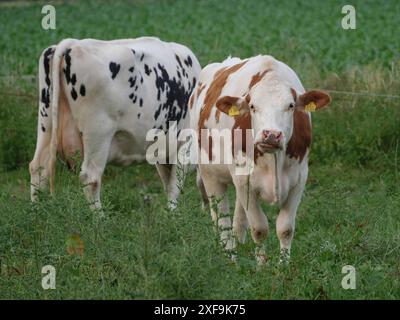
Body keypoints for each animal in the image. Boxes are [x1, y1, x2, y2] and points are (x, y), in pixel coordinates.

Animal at [189, 56, 330, 264]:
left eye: (291, 106)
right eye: (253, 106)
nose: (271, 135)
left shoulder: (299, 180)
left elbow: (285, 228)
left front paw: (283, 266)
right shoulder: (244, 181)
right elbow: (259, 229)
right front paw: (261, 266)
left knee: (238, 221)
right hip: (210, 175)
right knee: (221, 221)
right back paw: (230, 258)